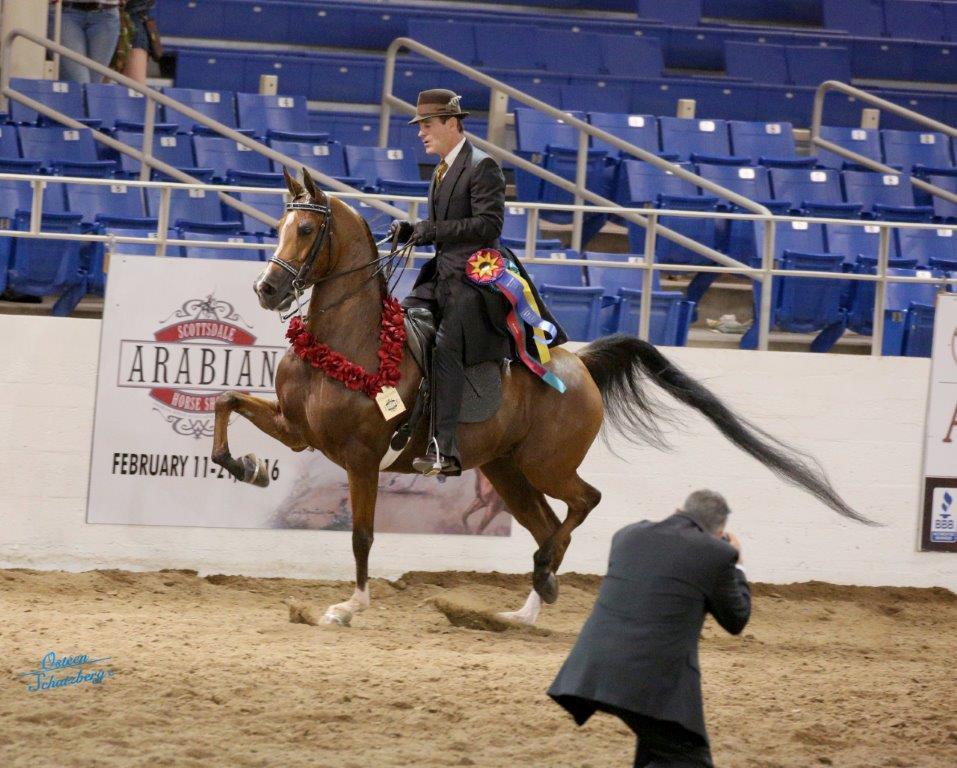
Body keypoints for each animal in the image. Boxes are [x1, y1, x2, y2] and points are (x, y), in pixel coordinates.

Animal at [211, 168, 873, 627]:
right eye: (277, 228)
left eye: (306, 229)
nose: (267, 289)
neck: (351, 340)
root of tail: (579, 364)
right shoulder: (300, 430)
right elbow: (226, 404)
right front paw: (245, 466)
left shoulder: (362, 458)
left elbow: (361, 537)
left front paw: (348, 607)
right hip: (508, 472)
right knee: (551, 524)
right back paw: (523, 609)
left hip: (545, 464)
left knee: (582, 506)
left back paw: (543, 581)